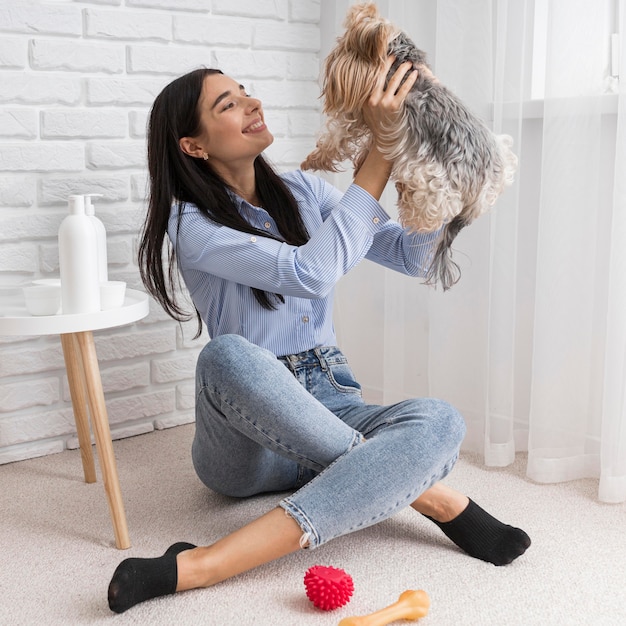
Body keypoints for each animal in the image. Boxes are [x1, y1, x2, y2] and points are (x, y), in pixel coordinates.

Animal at [300, 2, 516, 288]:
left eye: (344, 45)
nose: (332, 55)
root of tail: (487, 182)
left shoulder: (358, 110)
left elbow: (337, 135)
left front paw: (313, 159)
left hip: (433, 178)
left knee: (435, 211)